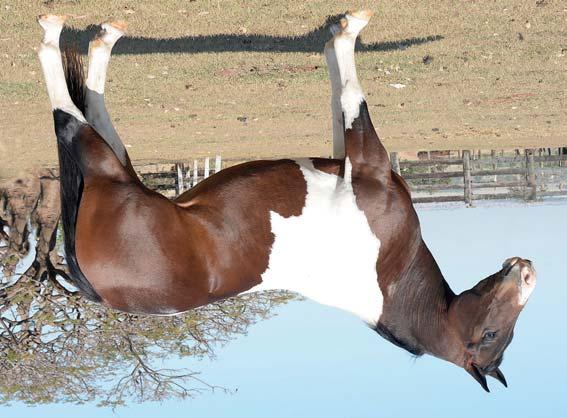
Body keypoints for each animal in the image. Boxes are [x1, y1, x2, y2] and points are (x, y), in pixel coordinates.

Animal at [36, 9, 536, 390]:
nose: (527, 269)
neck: (391, 274)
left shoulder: (364, 164)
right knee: (84, 109)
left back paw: (69, 35)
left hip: (109, 169)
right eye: (491, 332)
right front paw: (340, 34)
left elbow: (349, 97)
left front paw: (345, 31)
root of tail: (96, 289)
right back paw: (93, 37)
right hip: (115, 167)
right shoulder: (356, 161)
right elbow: (343, 97)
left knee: (74, 116)